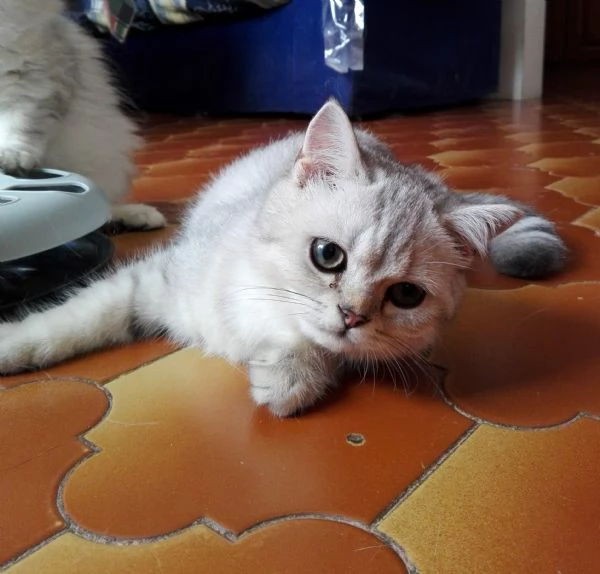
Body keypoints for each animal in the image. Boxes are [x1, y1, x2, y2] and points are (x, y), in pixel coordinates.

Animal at [0, 100, 568, 418]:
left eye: (406, 295)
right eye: (327, 255)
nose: (352, 316)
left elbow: (321, 352)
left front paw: (292, 378)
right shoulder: (151, 280)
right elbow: (70, 322)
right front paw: (14, 347)